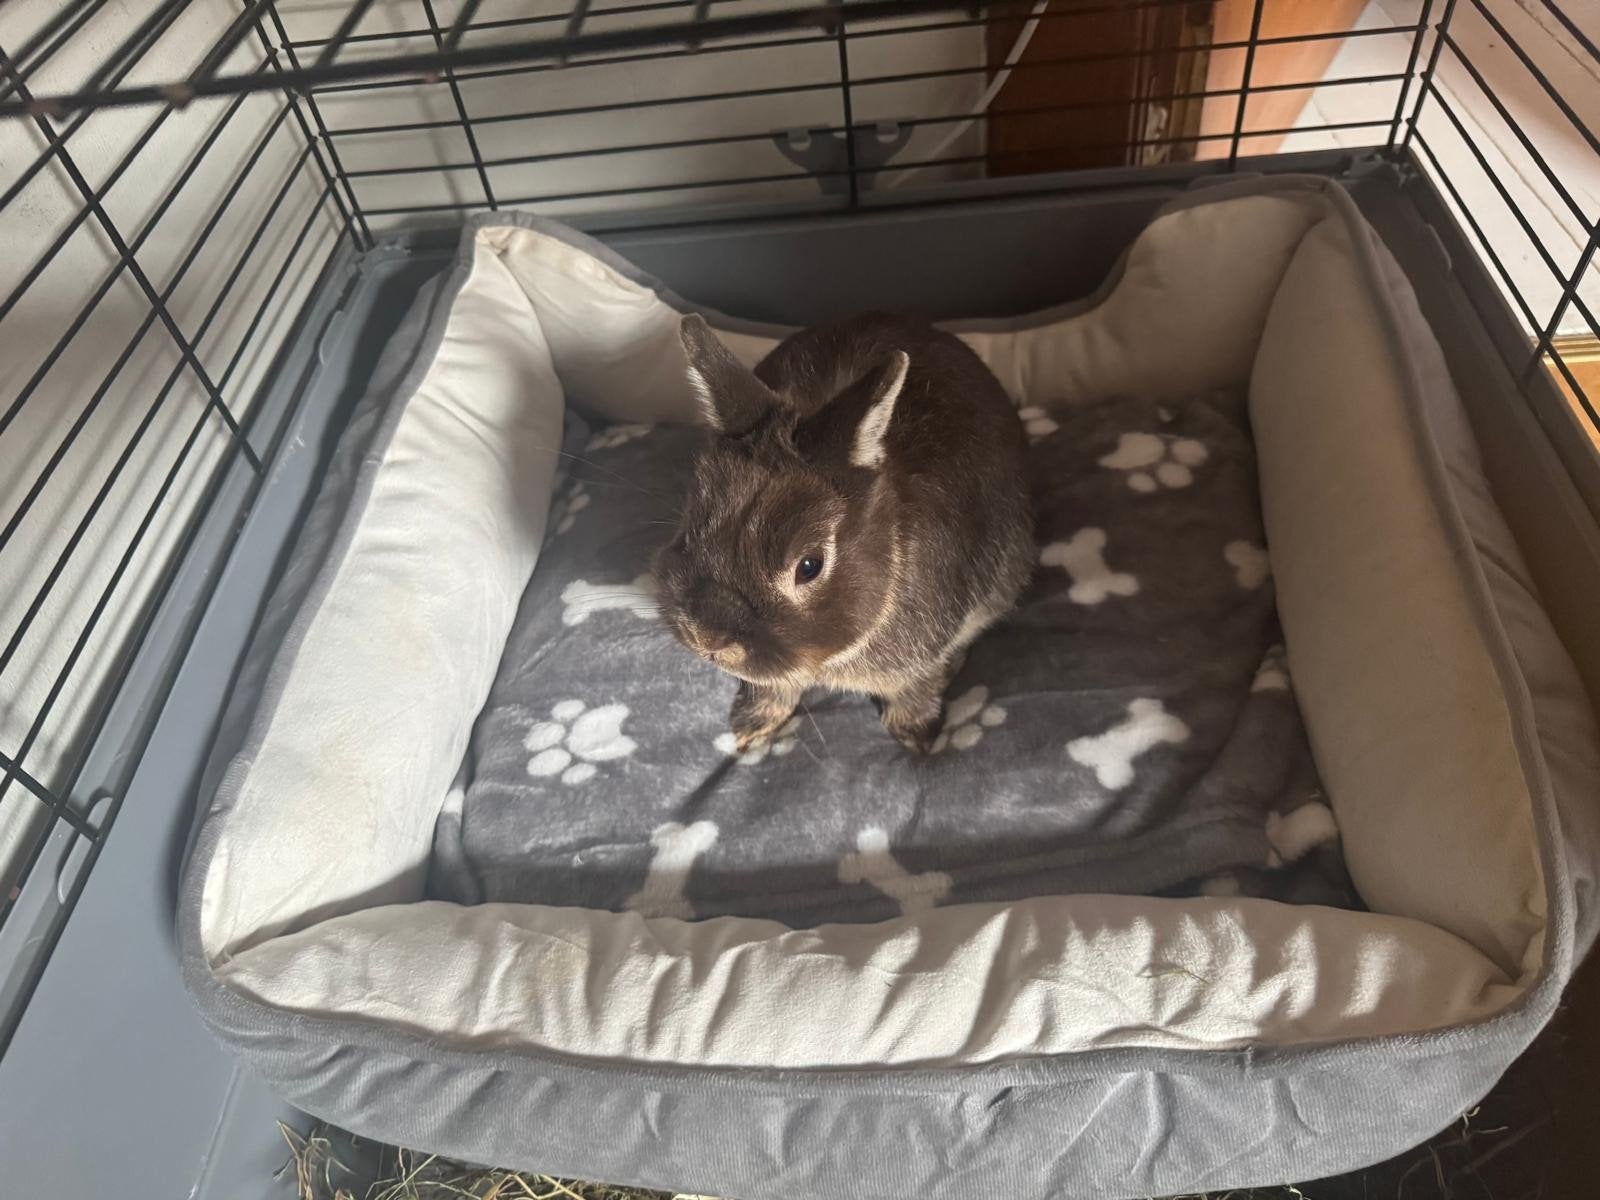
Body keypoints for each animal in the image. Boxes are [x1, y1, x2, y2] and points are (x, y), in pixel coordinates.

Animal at [654, 311, 1034, 754]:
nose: (707, 639)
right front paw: (751, 729)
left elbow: (915, 689)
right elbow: (772, 687)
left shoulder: (923, 656)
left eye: (809, 566)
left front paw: (916, 739)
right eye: (691, 524)